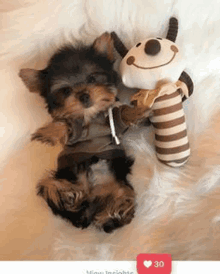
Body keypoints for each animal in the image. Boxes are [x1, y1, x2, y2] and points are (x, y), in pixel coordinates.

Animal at [18, 32, 136, 233]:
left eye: (92, 79)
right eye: (66, 91)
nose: (84, 95)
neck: (90, 117)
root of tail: (92, 197)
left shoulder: (114, 123)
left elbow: (122, 115)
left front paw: (139, 110)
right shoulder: (75, 127)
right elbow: (67, 123)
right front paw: (50, 132)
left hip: (117, 181)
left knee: (123, 194)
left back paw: (115, 212)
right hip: (66, 178)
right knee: (49, 186)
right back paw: (69, 196)